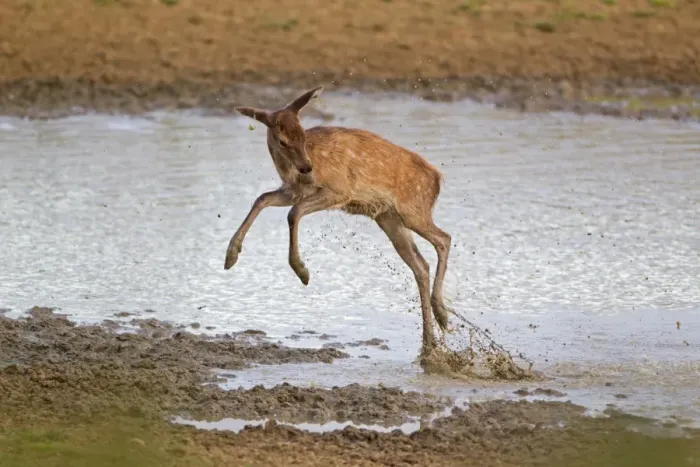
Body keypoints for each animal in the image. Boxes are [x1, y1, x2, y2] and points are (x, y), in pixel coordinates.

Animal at [224, 86, 453, 352]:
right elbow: (261, 199)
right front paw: (230, 256)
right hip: (389, 219)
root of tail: (437, 179)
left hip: (413, 210)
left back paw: (442, 315)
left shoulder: (340, 190)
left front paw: (302, 271)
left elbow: (294, 212)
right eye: (282, 140)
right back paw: (429, 338)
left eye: (303, 134)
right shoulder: (293, 191)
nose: (306, 168)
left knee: (444, 238)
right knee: (420, 265)